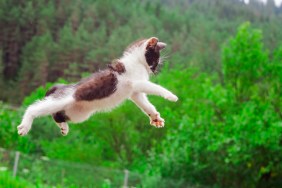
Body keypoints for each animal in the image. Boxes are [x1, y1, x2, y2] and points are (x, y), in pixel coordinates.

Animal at [18, 37, 178, 136]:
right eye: (154, 59)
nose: (154, 70)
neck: (136, 61)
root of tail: (60, 87)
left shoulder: (134, 92)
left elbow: (145, 104)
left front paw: (155, 117)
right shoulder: (136, 82)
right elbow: (155, 87)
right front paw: (171, 95)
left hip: (78, 114)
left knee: (57, 115)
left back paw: (64, 127)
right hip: (66, 99)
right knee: (35, 108)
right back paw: (24, 126)